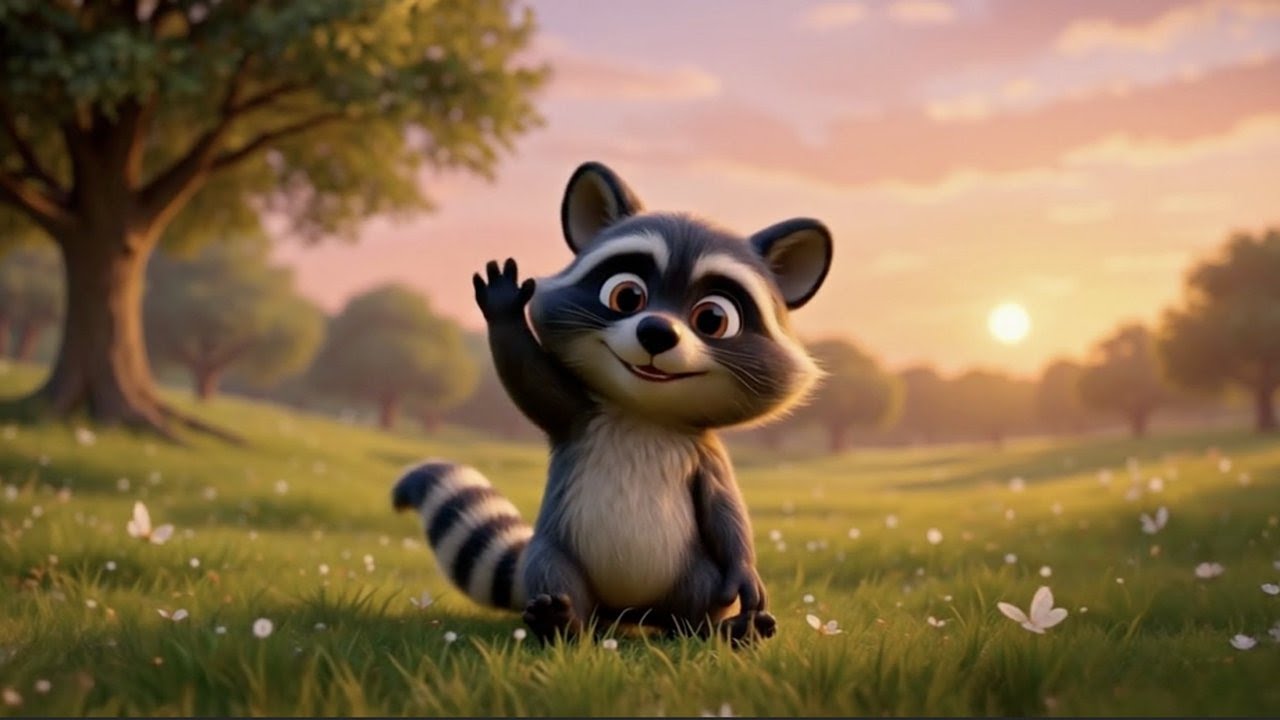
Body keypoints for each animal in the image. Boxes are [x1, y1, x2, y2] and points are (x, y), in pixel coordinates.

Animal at [392, 162, 832, 644]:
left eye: (713, 319)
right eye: (626, 296)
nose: (657, 331)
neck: (644, 411)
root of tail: (629, 614)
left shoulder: (705, 453)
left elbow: (724, 507)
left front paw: (745, 571)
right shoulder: (578, 414)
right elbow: (529, 380)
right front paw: (505, 311)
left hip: (687, 575)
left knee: (703, 585)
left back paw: (715, 629)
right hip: (558, 555)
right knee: (554, 570)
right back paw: (562, 623)